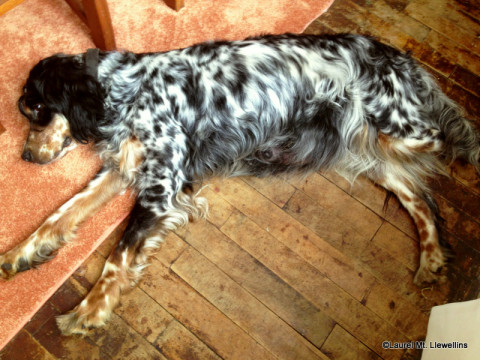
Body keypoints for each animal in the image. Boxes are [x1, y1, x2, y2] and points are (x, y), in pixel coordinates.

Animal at [3, 33, 480, 334]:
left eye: (36, 109)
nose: (23, 157)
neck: (128, 90)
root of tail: (395, 55)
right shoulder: (124, 169)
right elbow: (60, 214)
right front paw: (19, 253)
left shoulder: (162, 187)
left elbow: (117, 257)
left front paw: (86, 312)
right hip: (365, 147)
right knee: (420, 198)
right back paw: (431, 259)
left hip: (397, 129)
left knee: (449, 142)